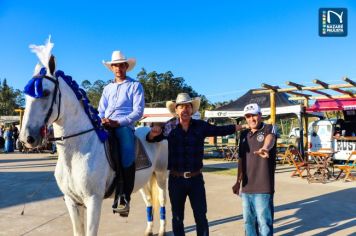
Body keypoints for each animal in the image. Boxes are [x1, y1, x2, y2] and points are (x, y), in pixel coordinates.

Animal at [20, 38, 168, 236]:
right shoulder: (72, 202)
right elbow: (78, 231)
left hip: (161, 175)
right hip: (144, 180)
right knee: (150, 202)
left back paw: (161, 230)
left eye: (45, 93)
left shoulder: (93, 200)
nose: (26, 138)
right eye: (26, 96)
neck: (76, 152)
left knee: (163, 202)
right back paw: (149, 230)